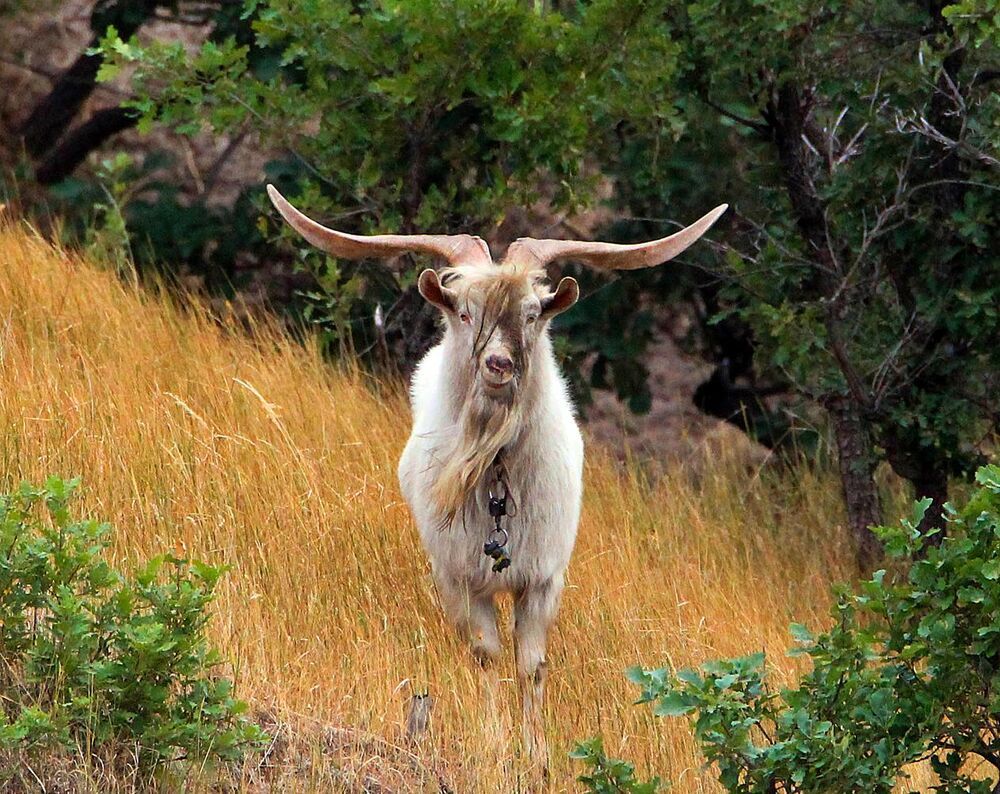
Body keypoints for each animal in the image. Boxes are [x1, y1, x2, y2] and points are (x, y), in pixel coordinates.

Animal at [266, 184, 726, 773]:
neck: (498, 474)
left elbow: (531, 665)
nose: (499, 365)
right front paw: (495, 744)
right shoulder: (460, 578)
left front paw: (538, 756)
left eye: (532, 314)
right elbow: (485, 656)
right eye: (465, 312)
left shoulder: (544, 578)